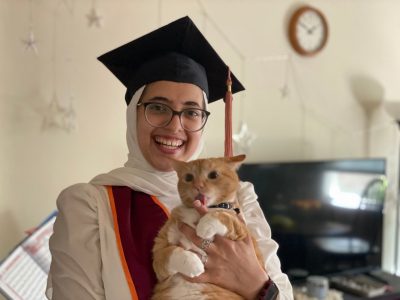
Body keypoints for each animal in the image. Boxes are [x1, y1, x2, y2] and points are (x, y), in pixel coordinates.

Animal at [152, 155, 264, 300]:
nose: (198, 186)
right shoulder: (159, 254)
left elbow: (224, 216)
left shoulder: (242, 231)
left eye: (213, 175)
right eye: (188, 177)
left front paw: (204, 226)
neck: (198, 211)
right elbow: (172, 252)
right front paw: (192, 264)